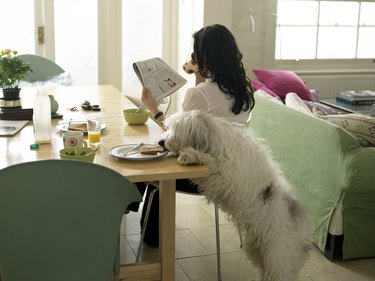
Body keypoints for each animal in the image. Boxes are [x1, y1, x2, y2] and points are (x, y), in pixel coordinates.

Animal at [161, 109, 314, 280]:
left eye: (175, 129)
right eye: (168, 126)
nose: (161, 142)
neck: (214, 140)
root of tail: (305, 230)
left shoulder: (224, 175)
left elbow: (212, 163)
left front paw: (190, 155)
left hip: (276, 252)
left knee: (278, 274)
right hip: (257, 245)